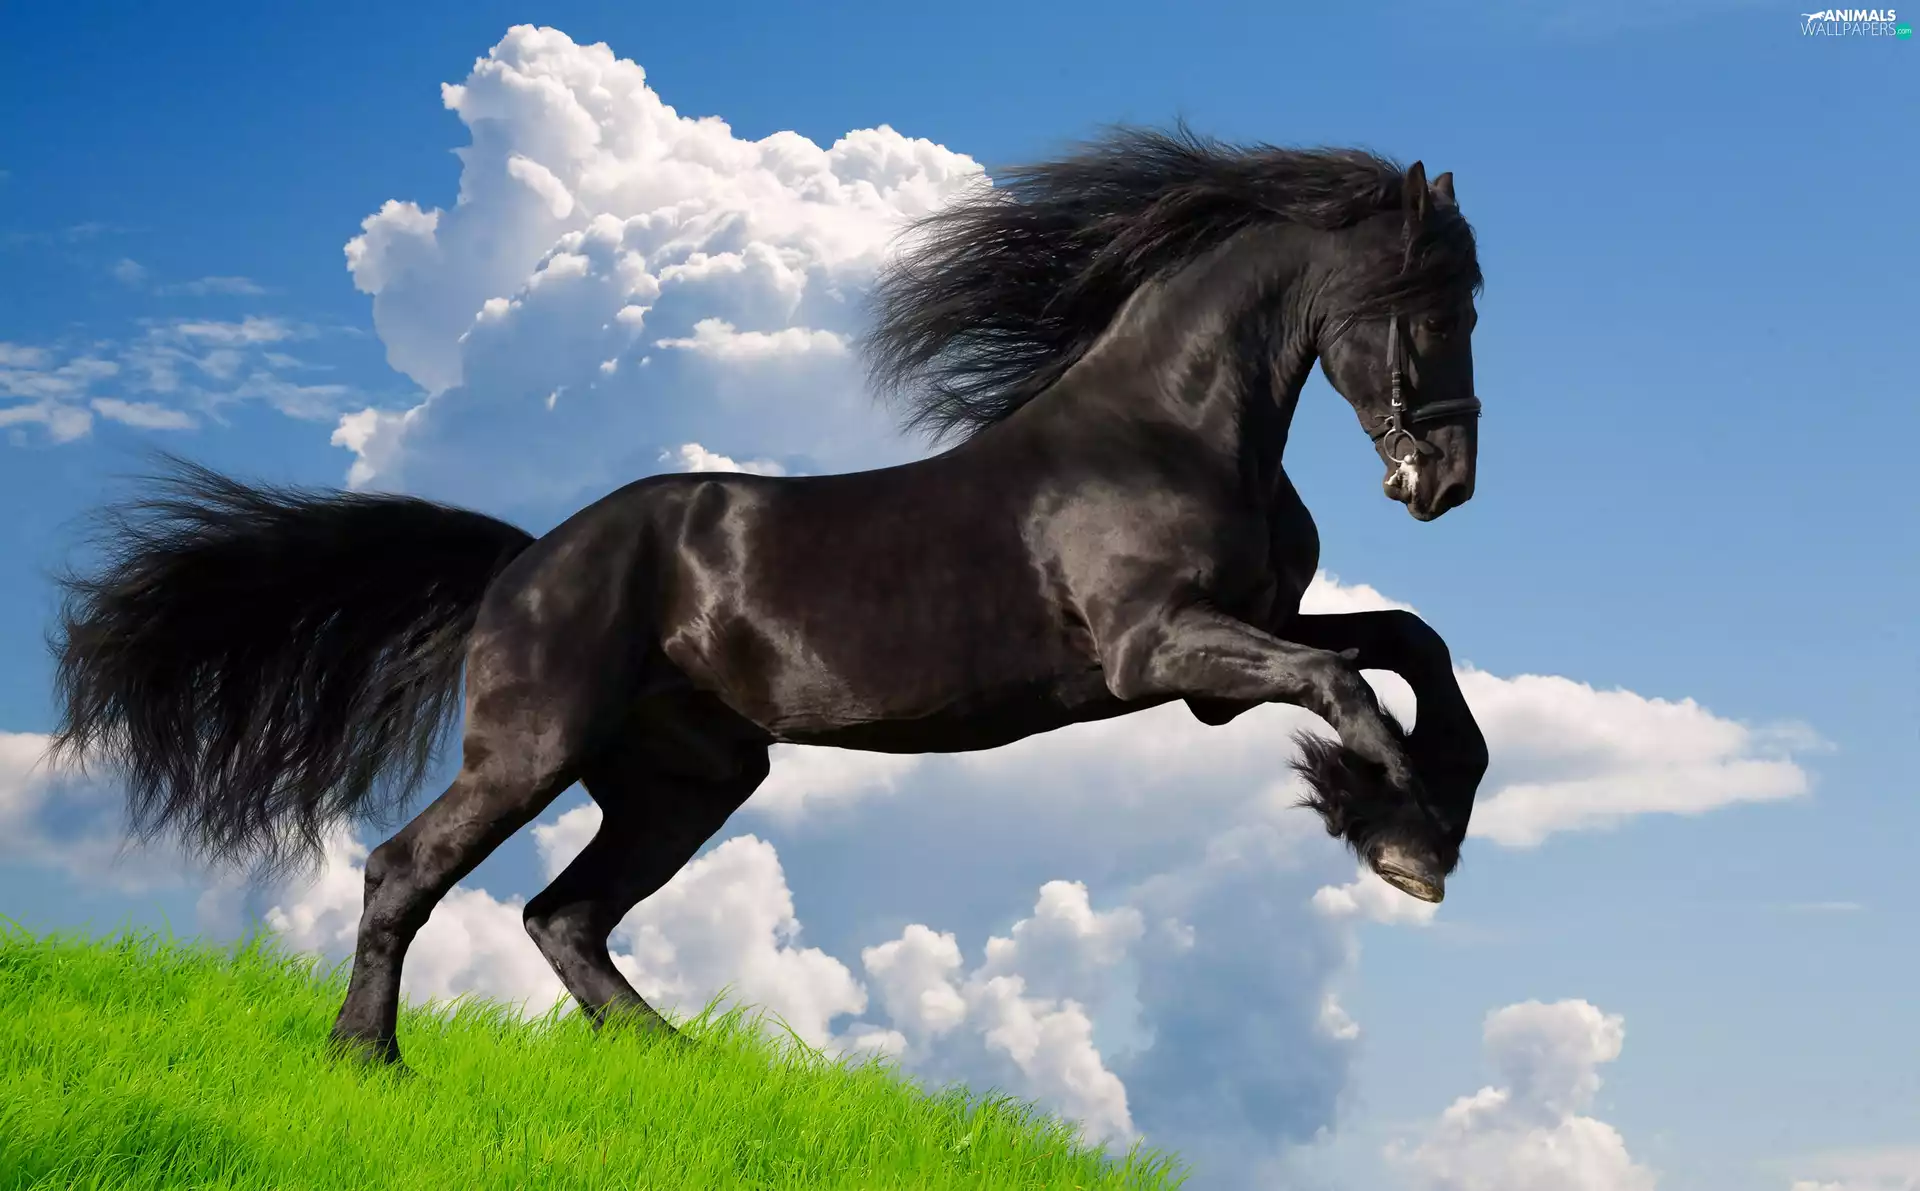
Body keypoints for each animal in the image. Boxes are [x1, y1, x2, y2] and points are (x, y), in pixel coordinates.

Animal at [49, 126, 1491, 1068]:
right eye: (1433, 307)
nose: (1448, 483)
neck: (1169, 431)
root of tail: (522, 563)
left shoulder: (1219, 664)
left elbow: (1411, 647)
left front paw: (1424, 813)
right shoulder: (1158, 654)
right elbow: (1349, 680)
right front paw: (1402, 838)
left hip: (688, 777)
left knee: (563, 914)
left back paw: (679, 1061)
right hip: (536, 748)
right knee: (409, 867)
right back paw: (368, 1058)